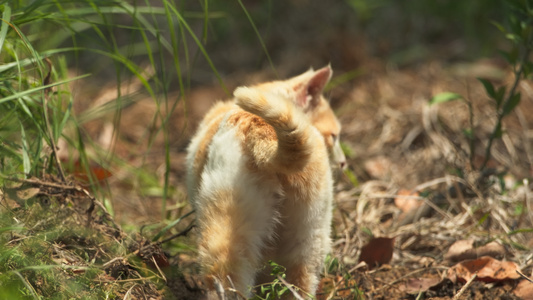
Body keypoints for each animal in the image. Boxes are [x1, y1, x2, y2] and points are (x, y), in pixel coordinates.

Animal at [187, 66, 344, 298]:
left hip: (225, 222)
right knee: (300, 282)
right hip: (310, 231)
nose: (343, 162)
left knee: (226, 279)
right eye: (334, 136)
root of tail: (266, 134)